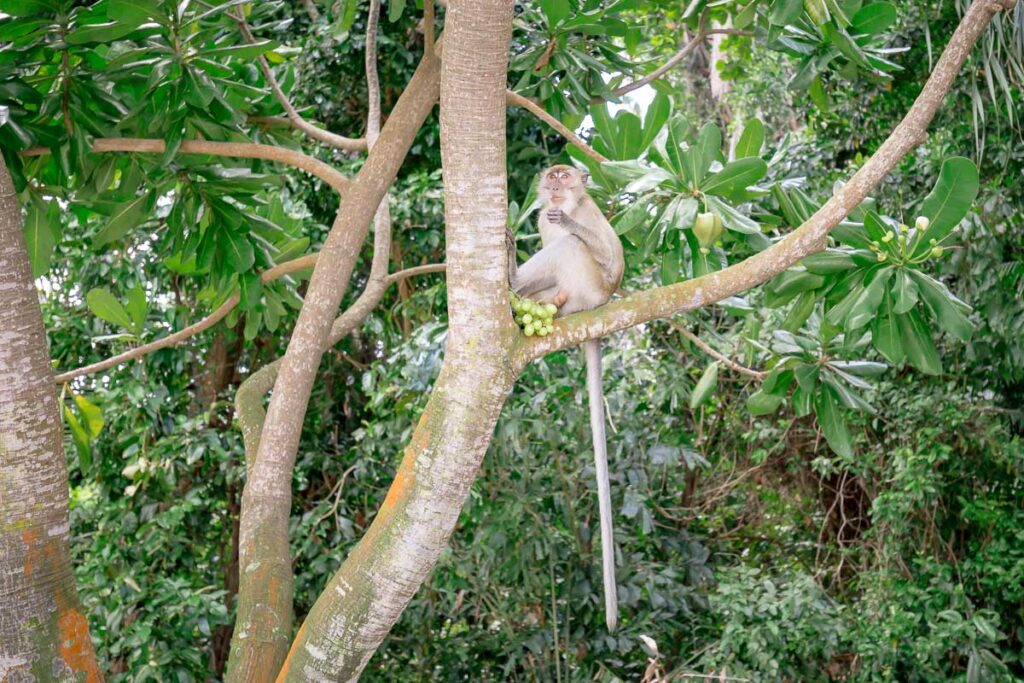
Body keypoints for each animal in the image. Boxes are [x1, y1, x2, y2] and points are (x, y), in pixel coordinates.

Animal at [507, 164, 625, 632]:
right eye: (552, 177)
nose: (556, 187)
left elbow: (610, 256)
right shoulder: (542, 219)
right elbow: (547, 231)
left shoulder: (590, 215)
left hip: (589, 290)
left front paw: (570, 224)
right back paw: (526, 295)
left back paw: (521, 283)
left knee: (572, 250)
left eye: (565, 178)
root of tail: (597, 310)